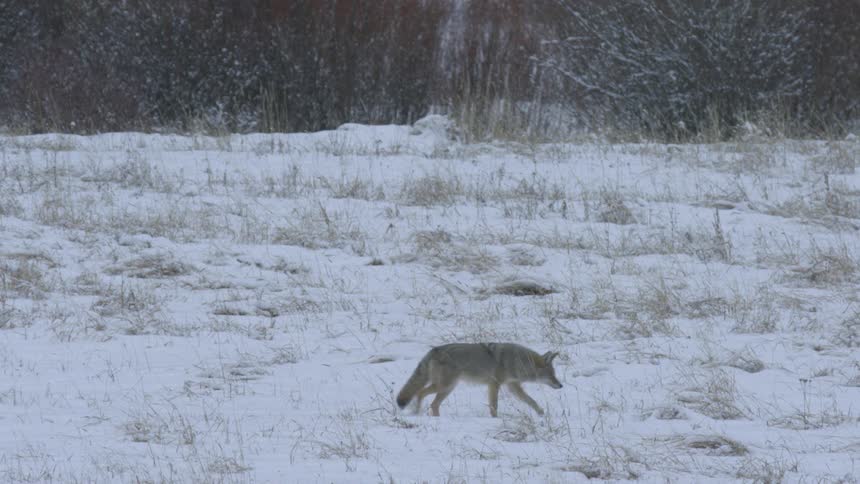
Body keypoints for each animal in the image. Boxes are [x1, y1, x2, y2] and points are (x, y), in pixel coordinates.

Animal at [396, 343, 563, 417]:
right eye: (551, 375)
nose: (560, 385)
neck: (515, 361)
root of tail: (433, 350)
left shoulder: (513, 386)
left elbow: (531, 401)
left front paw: (541, 413)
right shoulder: (494, 384)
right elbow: (494, 405)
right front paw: (495, 419)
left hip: (447, 388)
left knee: (433, 403)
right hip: (444, 386)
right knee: (420, 393)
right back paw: (417, 412)